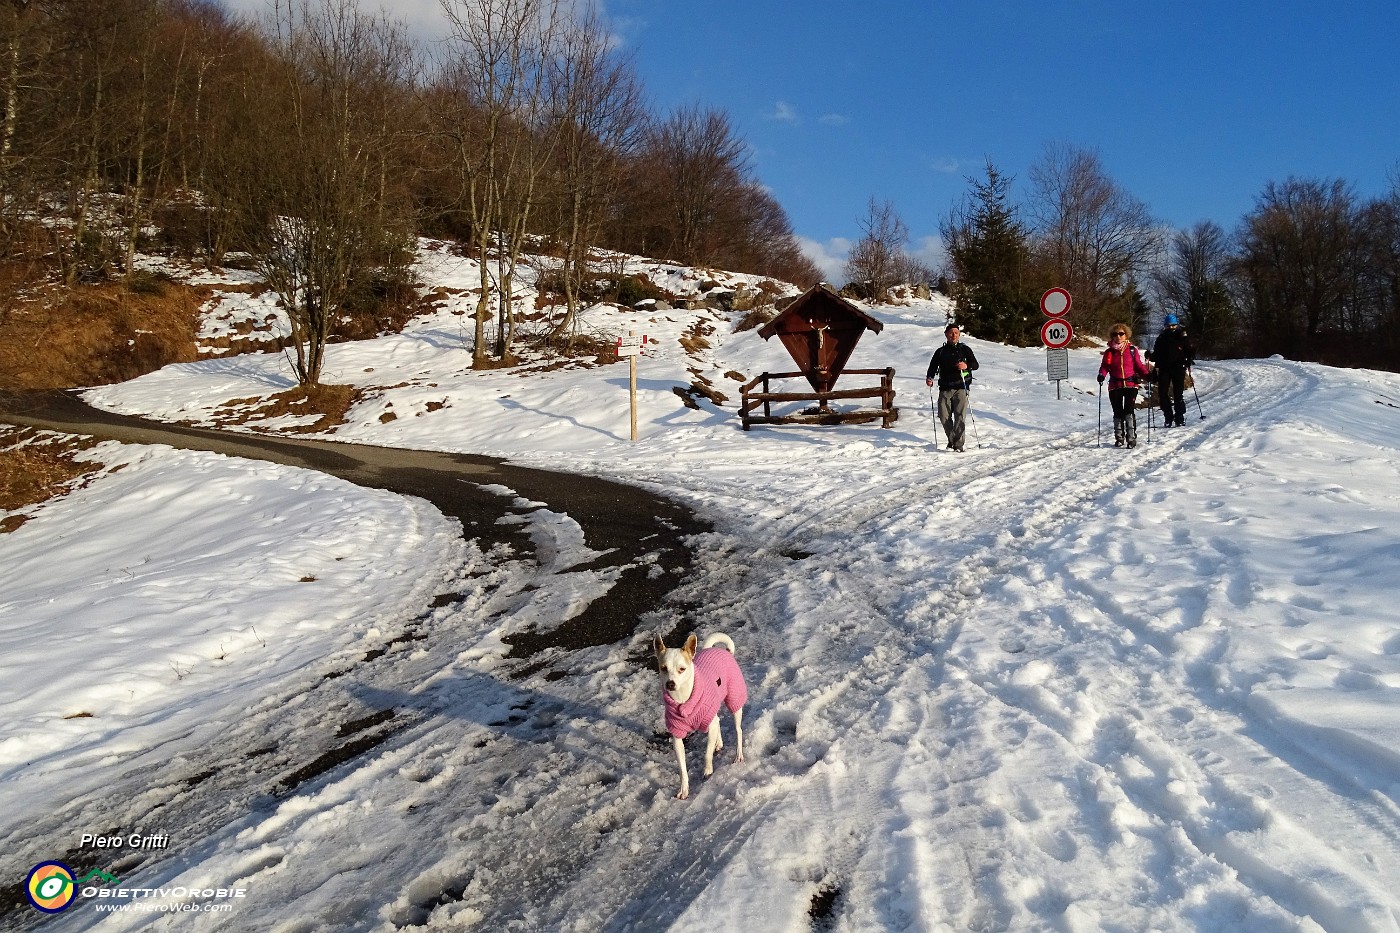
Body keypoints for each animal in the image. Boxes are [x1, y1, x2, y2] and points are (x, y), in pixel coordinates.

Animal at [652, 627, 750, 795]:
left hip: (734, 699)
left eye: (682, 669)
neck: (683, 700)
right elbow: (682, 767)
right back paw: (719, 742)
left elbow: (707, 753)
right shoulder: (677, 737)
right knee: (717, 720)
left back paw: (738, 755)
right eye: (663, 668)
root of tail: (724, 651)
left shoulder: (709, 724)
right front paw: (684, 789)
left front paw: (708, 770)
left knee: (738, 729)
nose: (670, 684)